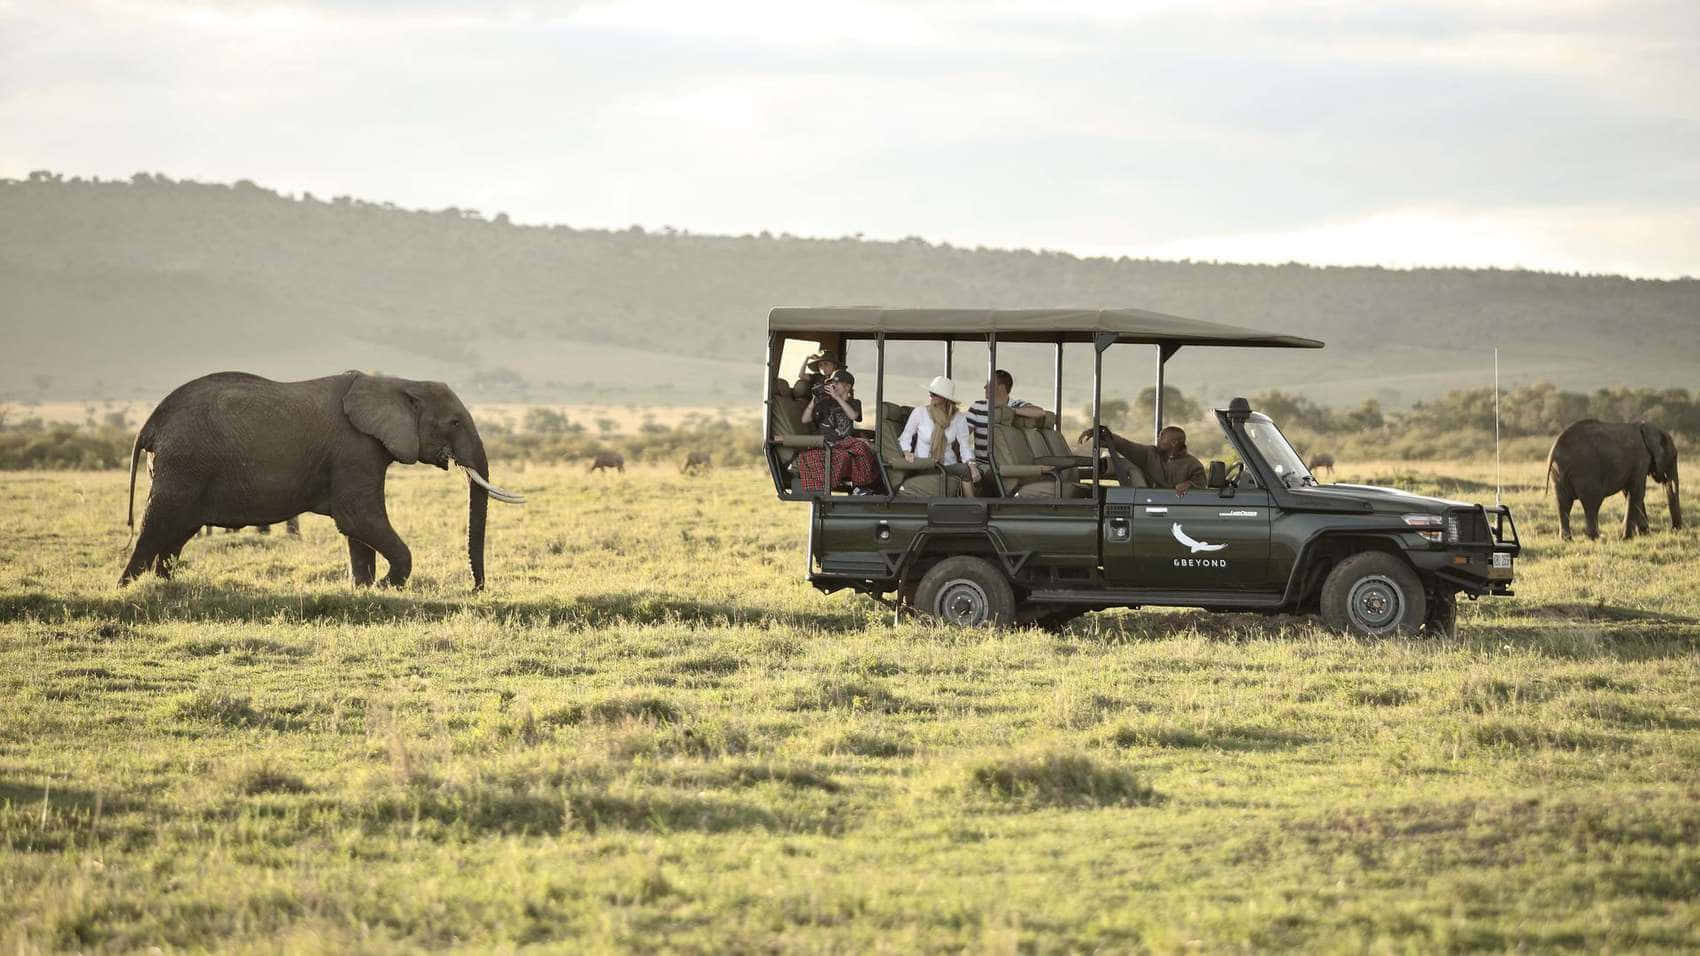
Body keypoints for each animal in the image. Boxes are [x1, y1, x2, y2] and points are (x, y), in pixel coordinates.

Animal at [122, 371, 523, 588]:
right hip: (184, 463)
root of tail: (150, 424)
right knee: (157, 522)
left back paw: (165, 585)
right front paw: (385, 586)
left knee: (177, 531)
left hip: (185, 466)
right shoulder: (355, 449)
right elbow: (359, 518)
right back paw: (127, 588)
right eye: (453, 422)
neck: (397, 383)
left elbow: (358, 529)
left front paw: (363, 589)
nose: (476, 588)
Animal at [1546, 419, 1681, 540]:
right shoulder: (1641, 459)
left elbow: (1630, 493)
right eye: (1674, 457)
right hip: (1585, 471)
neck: (1645, 426)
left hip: (1558, 472)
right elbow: (1637, 492)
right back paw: (1596, 538)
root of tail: (1555, 447)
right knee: (1592, 503)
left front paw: (1644, 534)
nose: (1675, 529)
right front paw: (1628, 537)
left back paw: (1567, 539)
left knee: (1563, 503)